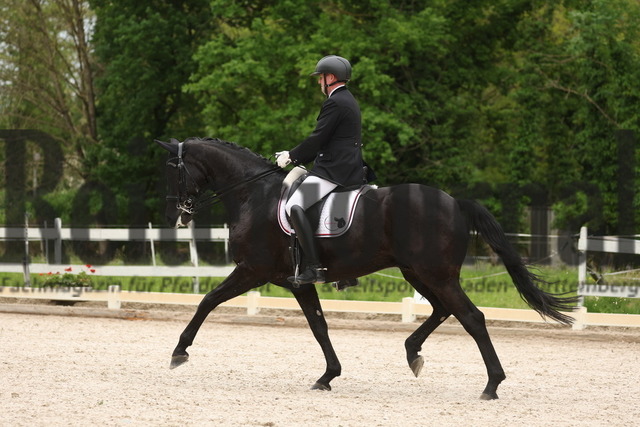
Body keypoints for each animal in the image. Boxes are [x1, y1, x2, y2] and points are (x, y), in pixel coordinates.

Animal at [158, 137, 576, 402]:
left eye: (173, 170)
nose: (178, 213)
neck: (253, 195)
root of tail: (456, 203)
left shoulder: (253, 269)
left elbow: (208, 301)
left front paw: (179, 351)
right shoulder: (297, 282)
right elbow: (319, 326)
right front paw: (328, 376)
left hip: (436, 274)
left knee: (471, 317)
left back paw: (491, 385)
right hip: (417, 272)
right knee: (444, 310)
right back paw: (413, 353)